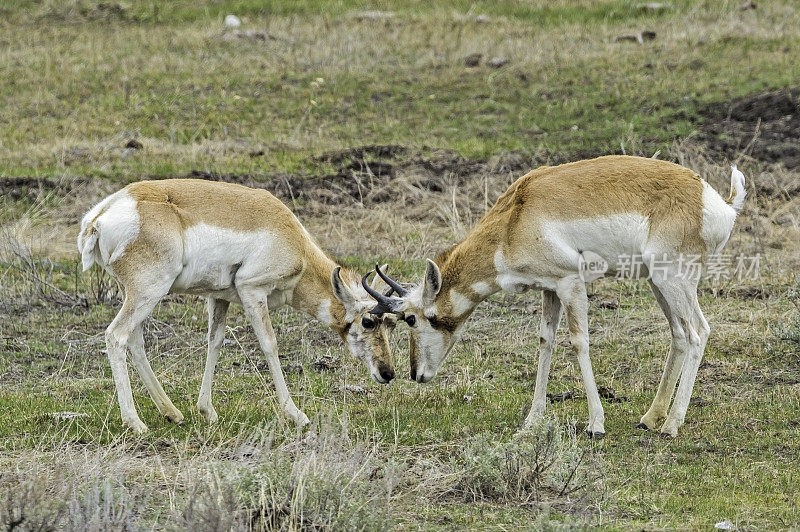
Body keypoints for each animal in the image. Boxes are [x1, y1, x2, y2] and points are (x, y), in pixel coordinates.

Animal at [78, 178, 396, 432]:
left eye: (391, 323)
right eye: (368, 321)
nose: (388, 373)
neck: (294, 240)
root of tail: (100, 216)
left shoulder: (218, 298)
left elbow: (215, 342)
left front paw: (207, 411)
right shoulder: (252, 291)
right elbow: (269, 344)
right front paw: (297, 414)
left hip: (134, 293)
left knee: (135, 341)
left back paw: (172, 413)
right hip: (149, 292)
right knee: (116, 335)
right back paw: (136, 423)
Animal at [366, 156, 748, 438]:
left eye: (412, 318)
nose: (415, 374)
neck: (516, 216)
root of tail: (714, 199)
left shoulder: (570, 284)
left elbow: (579, 342)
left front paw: (596, 424)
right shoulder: (548, 289)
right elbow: (545, 342)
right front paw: (531, 422)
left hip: (673, 281)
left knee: (699, 332)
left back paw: (671, 425)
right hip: (659, 283)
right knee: (679, 335)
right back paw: (650, 418)